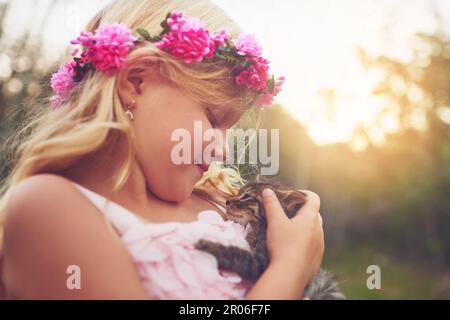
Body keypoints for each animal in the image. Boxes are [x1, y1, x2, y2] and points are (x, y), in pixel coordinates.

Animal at [195, 178, 346, 300]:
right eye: (239, 192)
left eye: (247, 196)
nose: (227, 201)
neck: (259, 230)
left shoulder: (260, 263)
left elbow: (236, 254)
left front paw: (209, 246)